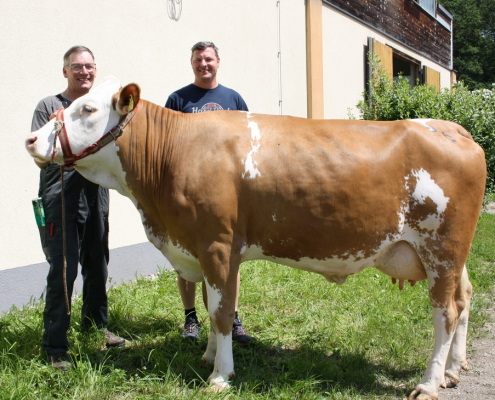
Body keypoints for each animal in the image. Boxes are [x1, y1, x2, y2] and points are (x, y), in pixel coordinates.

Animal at [25, 76, 486, 398]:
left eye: (87, 108)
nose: (30, 138)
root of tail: (452, 128)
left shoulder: (217, 243)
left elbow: (222, 311)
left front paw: (220, 376)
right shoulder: (206, 248)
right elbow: (210, 305)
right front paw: (210, 355)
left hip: (442, 247)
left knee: (445, 312)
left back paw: (429, 382)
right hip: (451, 255)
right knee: (465, 297)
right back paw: (452, 370)